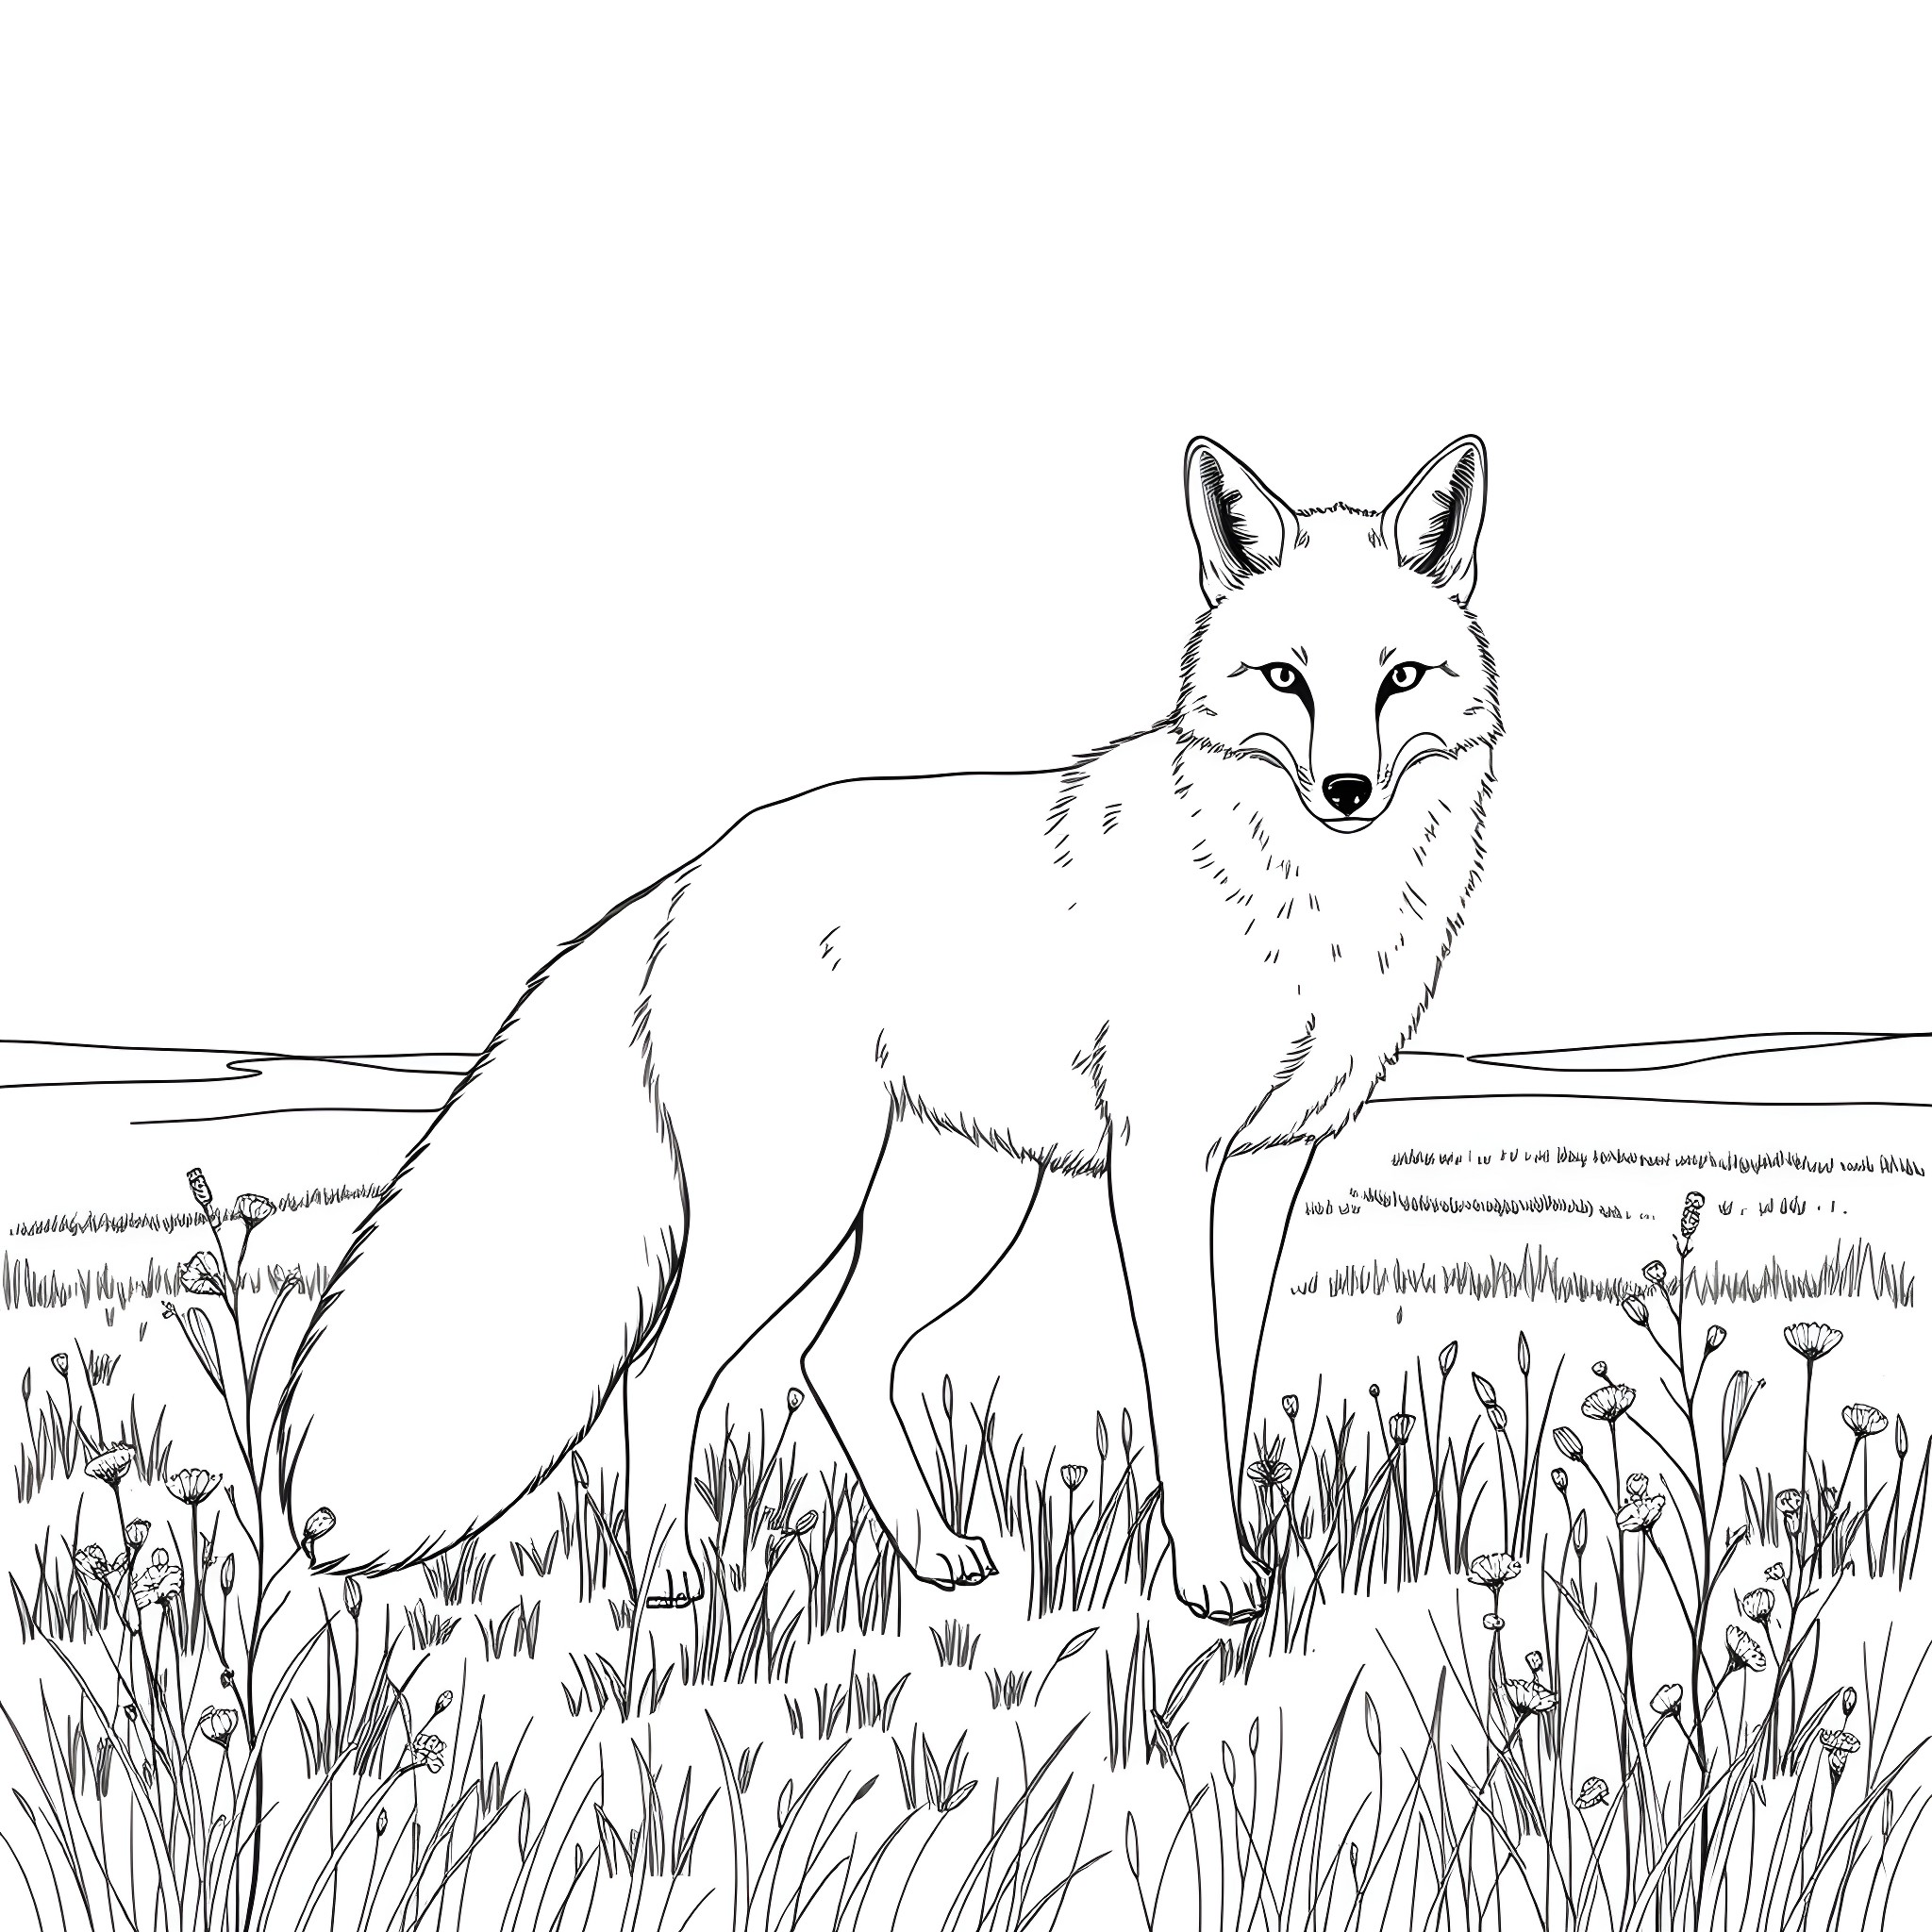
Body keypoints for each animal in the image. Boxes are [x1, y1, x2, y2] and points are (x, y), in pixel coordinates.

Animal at [278, 432, 1499, 1623]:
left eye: (1397, 677)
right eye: (1285, 678)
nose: (1345, 790)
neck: (1308, 901)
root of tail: (690, 874)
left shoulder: (1261, 1170)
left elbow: (1227, 1388)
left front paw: (1234, 1558)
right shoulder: (1162, 1165)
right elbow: (1184, 1394)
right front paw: (1208, 1583)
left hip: (957, 1211)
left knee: (834, 1359)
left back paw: (931, 1552)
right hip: (797, 1208)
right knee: (665, 1371)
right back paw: (666, 1576)